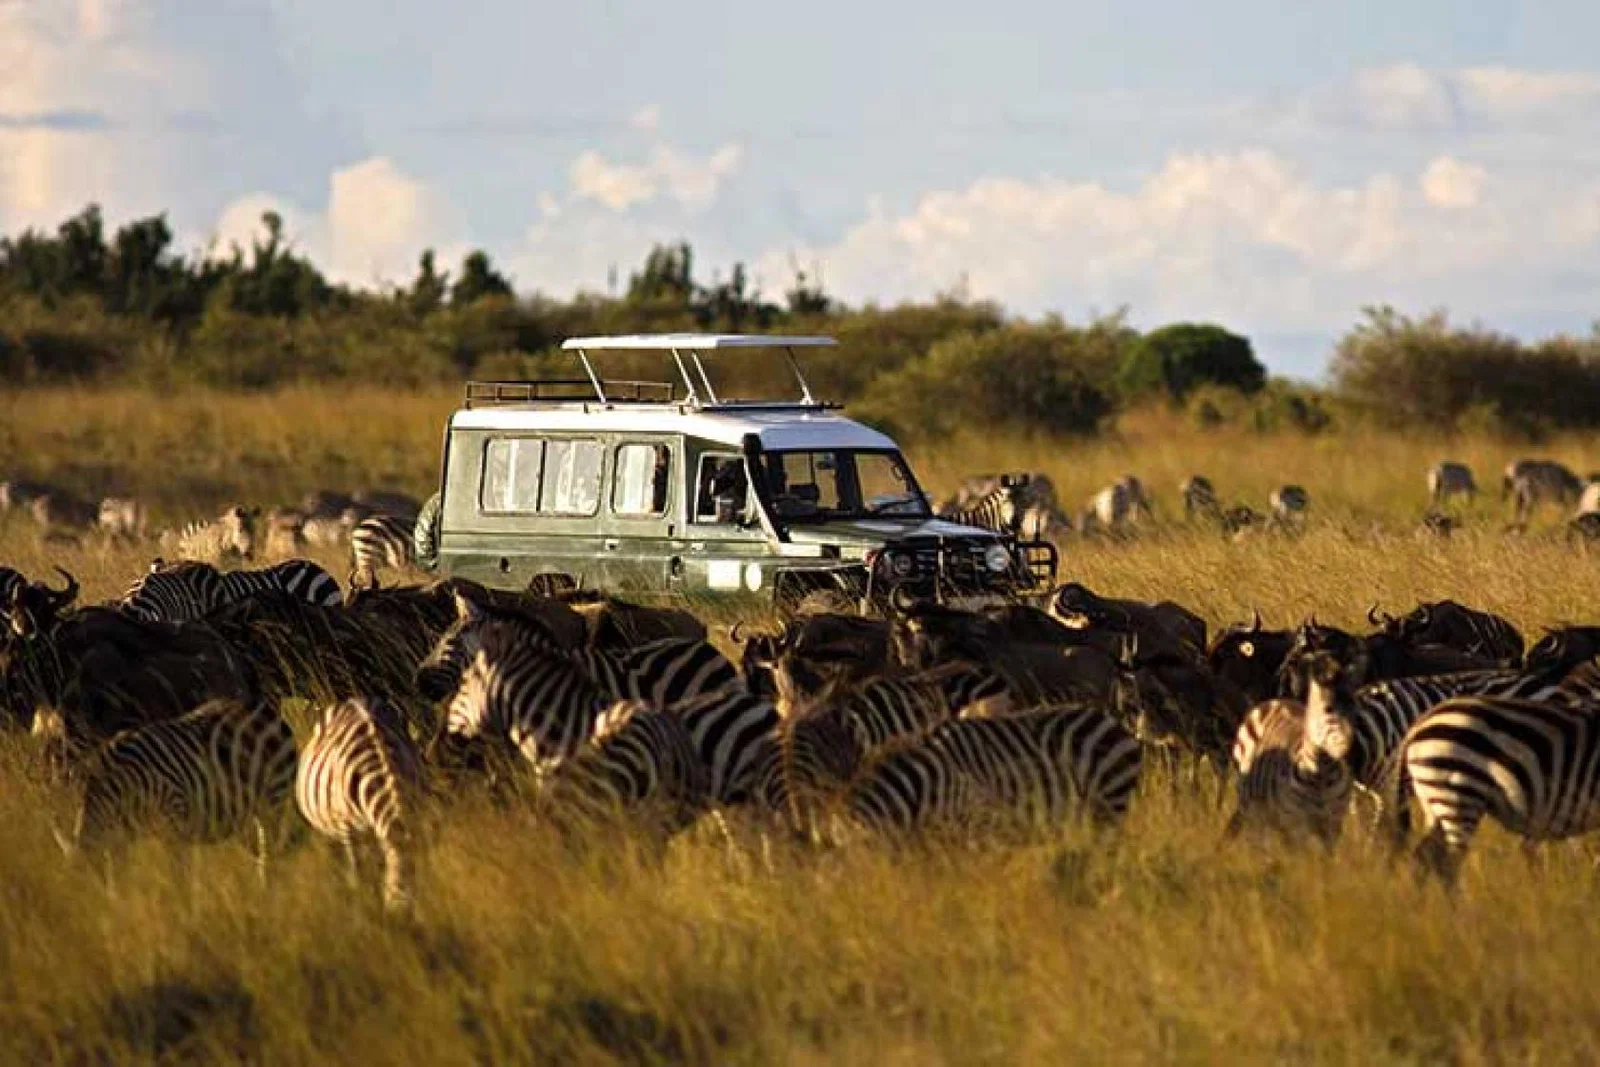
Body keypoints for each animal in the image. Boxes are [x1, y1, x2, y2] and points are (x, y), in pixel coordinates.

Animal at [59, 698, 299, 872]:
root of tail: (271, 714)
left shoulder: (174, 823)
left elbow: (177, 875)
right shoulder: (123, 834)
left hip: (272, 802)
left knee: (269, 854)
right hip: (243, 811)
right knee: (259, 852)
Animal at [295, 696, 425, 913]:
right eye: (396, 890)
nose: (404, 918)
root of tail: (354, 700)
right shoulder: (346, 827)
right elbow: (358, 874)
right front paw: (361, 907)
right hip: (330, 830)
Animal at [1227, 653, 1355, 845]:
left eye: (1354, 706)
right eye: (1327, 710)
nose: (1350, 751)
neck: (1321, 776)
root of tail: (1275, 701)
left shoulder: (1333, 825)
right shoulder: (1297, 825)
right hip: (1252, 807)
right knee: (1257, 841)